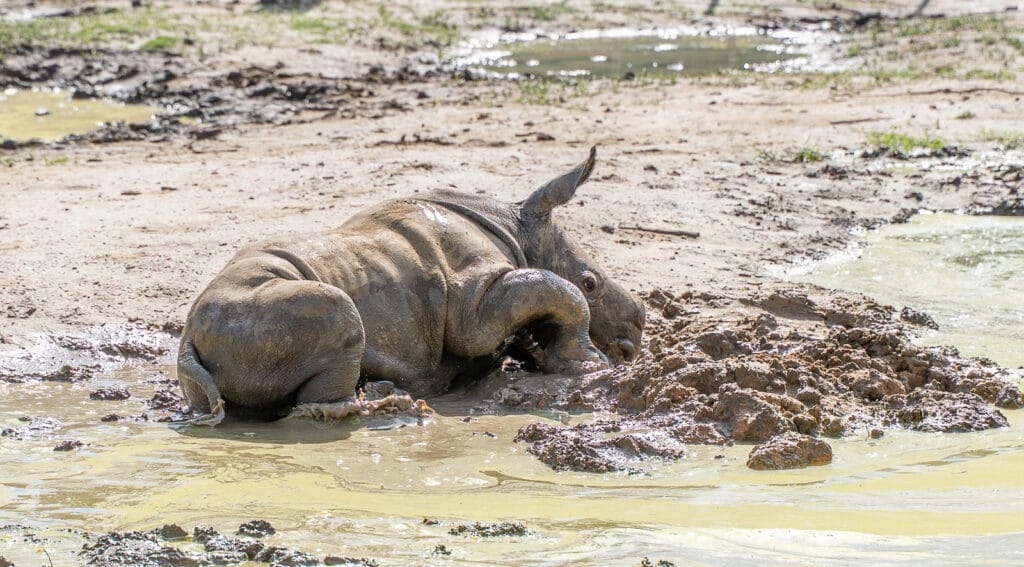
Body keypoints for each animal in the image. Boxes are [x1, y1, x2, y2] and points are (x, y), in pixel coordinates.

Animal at [177, 147, 645, 424]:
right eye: (590, 282)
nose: (632, 346)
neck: (518, 230)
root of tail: (186, 339)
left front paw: (540, 349)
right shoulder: (476, 298)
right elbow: (552, 293)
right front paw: (589, 365)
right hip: (248, 310)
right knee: (338, 310)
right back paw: (383, 406)